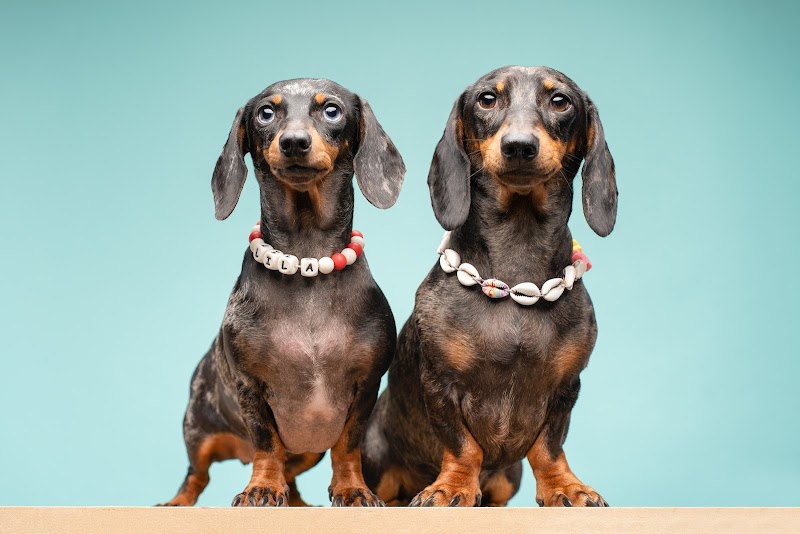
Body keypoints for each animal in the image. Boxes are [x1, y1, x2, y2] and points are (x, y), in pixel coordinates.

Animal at [162, 78, 405, 507]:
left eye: (331, 110)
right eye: (266, 113)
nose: (293, 142)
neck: (306, 261)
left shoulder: (366, 387)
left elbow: (348, 445)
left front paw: (352, 489)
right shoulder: (249, 387)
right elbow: (267, 442)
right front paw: (261, 486)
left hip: (307, 451)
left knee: (292, 478)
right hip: (198, 431)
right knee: (196, 475)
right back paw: (177, 502)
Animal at [362, 66, 616, 507]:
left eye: (560, 101)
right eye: (487, 99)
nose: (519, 146)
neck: (516, 279)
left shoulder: (566, 388)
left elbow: (549, 446)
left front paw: (564, 486)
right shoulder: (441, 385)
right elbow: (464, 446)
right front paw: (451, 487)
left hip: (508, 478)